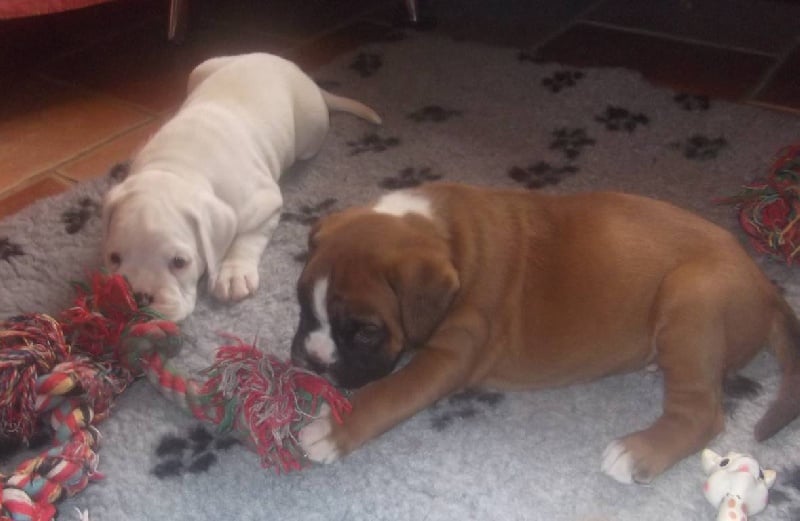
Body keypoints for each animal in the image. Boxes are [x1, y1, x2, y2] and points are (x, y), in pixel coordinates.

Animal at [102, 52, 381, 321]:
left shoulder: (265, 203)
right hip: (202, 68)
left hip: (310, 131)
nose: (139, 298)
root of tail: (295, 69)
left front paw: (233, 274)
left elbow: (247, 237)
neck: (177, 168)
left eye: (179, 262)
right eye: (114, 258)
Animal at [290, 182, 800, 484]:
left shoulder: (446, 358)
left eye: (365, 332)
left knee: (703, 414)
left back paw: (636, 452)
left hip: (690, 299)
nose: (312, 361)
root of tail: (765, 285)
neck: (447, 234)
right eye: (300, 301)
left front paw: (331, 429)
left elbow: (387, 393)